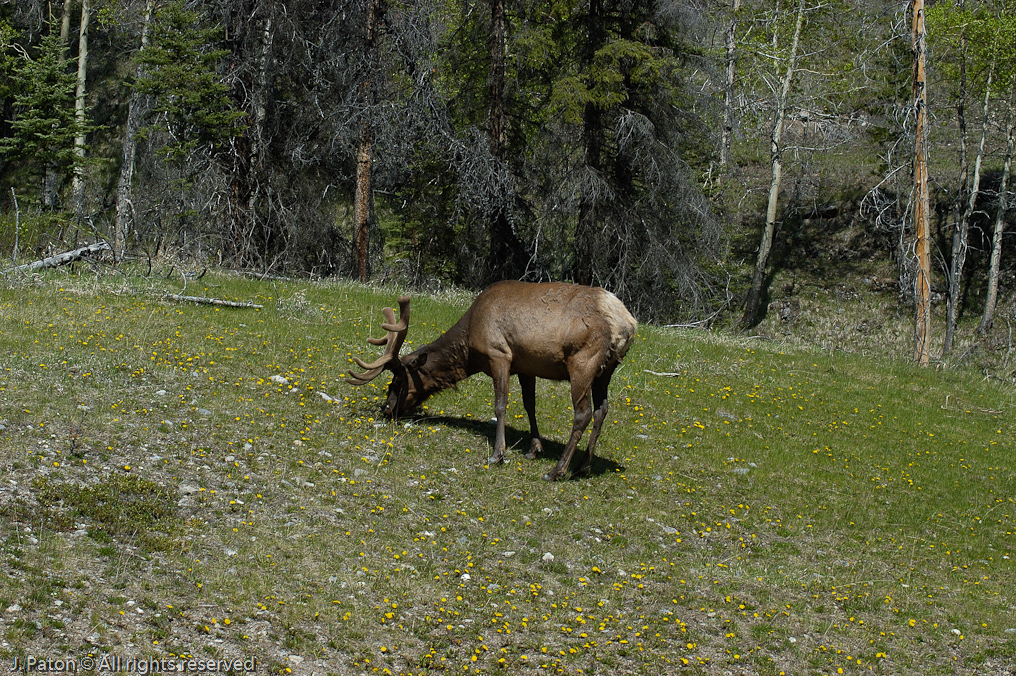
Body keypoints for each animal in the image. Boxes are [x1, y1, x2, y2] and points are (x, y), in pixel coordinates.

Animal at [345, 281, 637, 481]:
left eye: (397, 382)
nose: (386, 409)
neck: (469, 350)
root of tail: (627, 324)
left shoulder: (500, 355)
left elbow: (500, 406)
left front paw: (498, 454)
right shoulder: (526, 365)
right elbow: (529, 405)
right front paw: (534, 448)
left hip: (583, 362)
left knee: (583, 413)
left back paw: (557, 470)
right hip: (606, 370)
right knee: (602, 410)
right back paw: (582, 466)